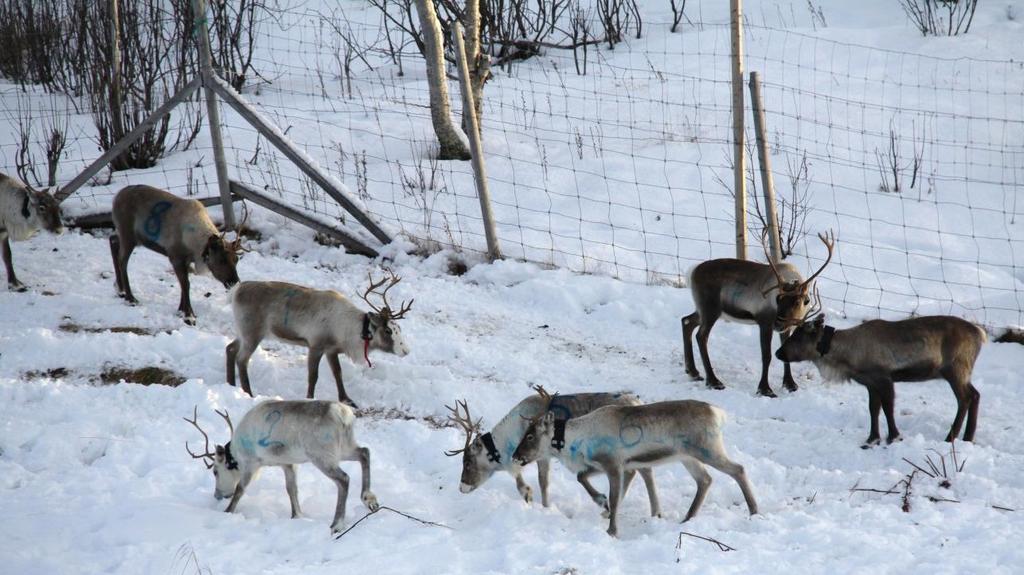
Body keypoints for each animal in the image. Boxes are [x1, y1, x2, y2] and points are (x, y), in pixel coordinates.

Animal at [185, 399, 380, 527]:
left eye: (215, 471)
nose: (218, 495)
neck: (236, 453)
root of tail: (344, 416)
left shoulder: (251, 463)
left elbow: (240, 488)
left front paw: (227, 511)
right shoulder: (288, 463)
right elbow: (291, 489)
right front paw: (297, 515)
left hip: (322, 455)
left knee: (344, 479)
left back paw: (337, 524)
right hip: (344, 447)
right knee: (365, 452)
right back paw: (369, 499)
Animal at [778, 313, 987, 444]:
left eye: (798, 336)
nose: (778, 353)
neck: (848, 356)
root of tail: (980, 334)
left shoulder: (884, 377)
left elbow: (888, 408)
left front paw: (894, 437)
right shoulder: (870, 383)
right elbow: (874, 409)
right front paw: (872, 439)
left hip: (956, 369)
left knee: (965, 398)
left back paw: (951, 437)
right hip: (960, 372)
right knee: (975, 394)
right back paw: (968, 437)